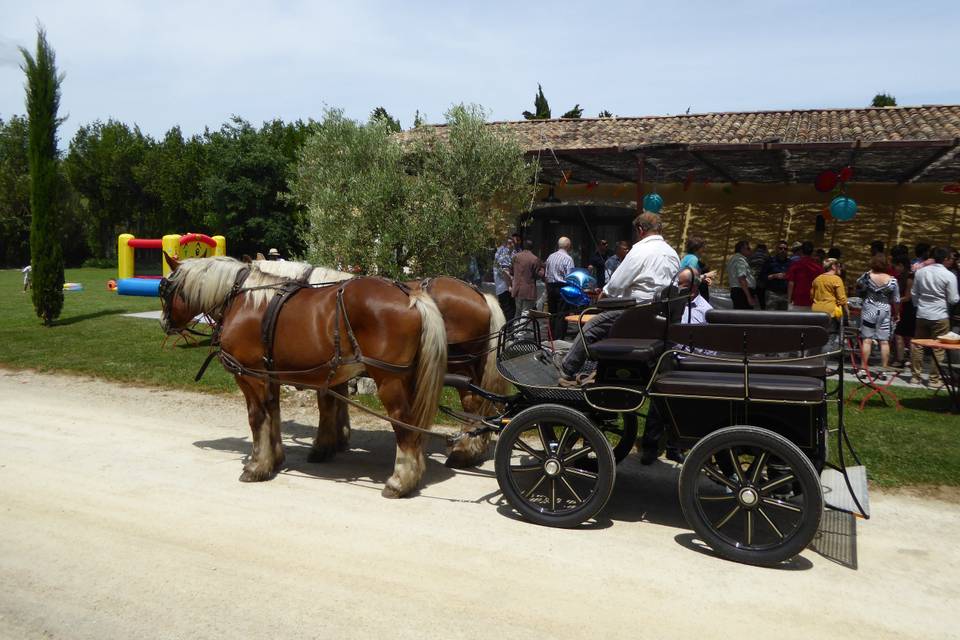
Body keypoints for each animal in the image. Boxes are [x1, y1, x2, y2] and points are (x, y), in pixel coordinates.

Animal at [159, 258, 448, 498]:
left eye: (164, 289)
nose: (164, 323)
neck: (243, 300)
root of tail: (411, 295)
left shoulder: (249, 375)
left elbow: (257, 418)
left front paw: (256, 466)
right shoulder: (269, 374)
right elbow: (273, 413)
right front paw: (274, 459)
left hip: (389, 380)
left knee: (403, 423)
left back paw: (400, 481)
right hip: (407, 378)